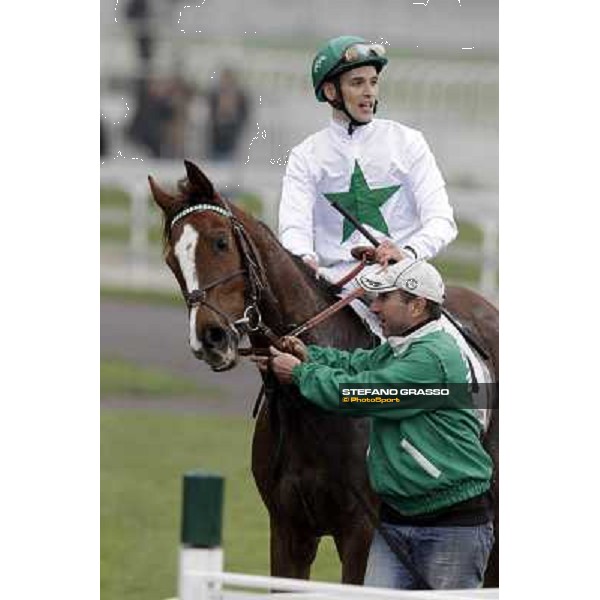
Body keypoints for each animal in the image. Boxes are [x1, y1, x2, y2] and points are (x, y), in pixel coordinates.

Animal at [148, 159, 500, 584]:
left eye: (220, 242)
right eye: (171, 259)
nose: (210, 338)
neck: (311, 414)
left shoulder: (363, 532)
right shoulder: (289, 529)